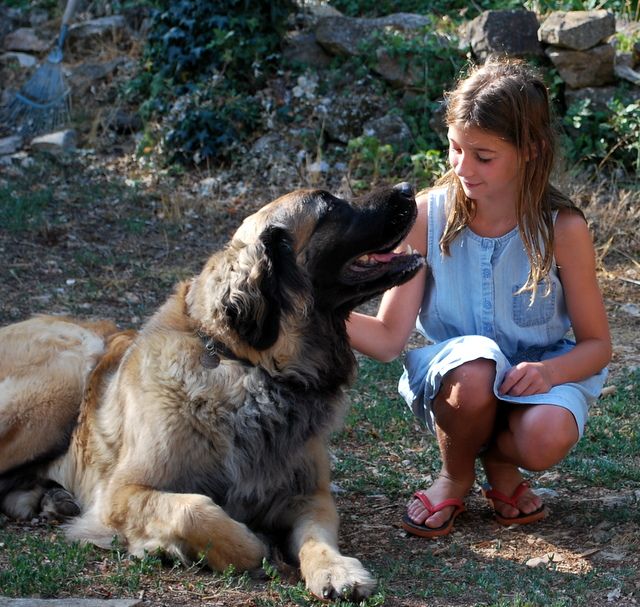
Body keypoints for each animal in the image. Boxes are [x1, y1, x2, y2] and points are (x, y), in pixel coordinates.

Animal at [0, 183, 424, 600]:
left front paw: (337, 571)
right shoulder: (122, 492)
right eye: (328, 205)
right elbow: (195, 509)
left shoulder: (309, 495)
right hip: (66, 377)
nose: (407, 188)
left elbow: (317, 537)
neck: (250, 366)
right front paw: (240, 547)